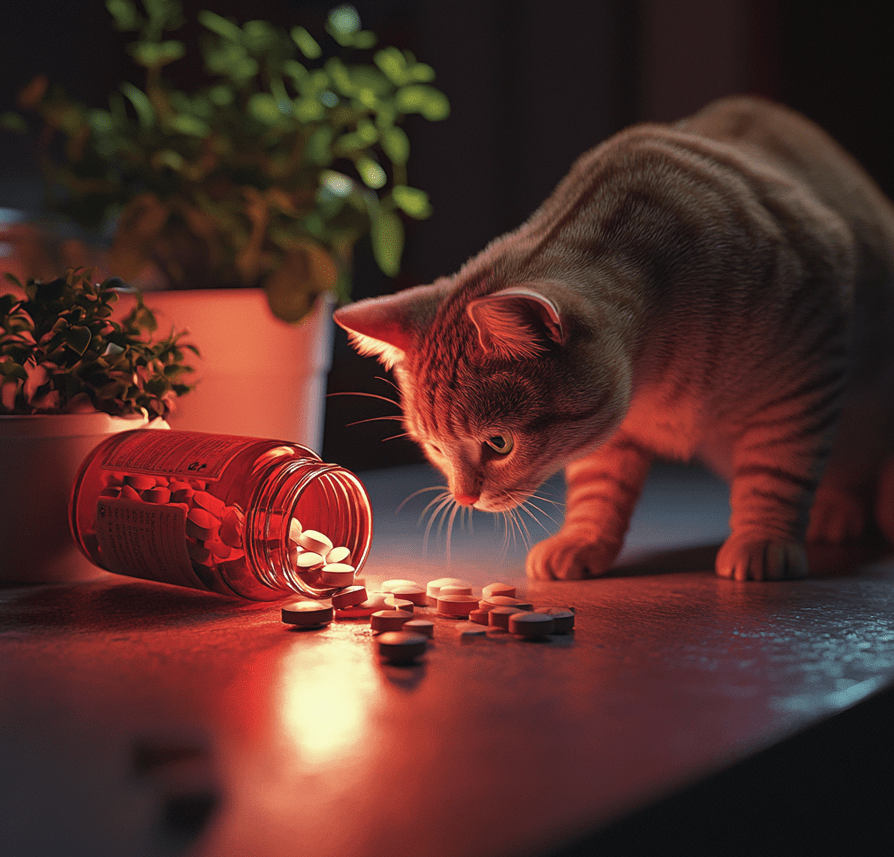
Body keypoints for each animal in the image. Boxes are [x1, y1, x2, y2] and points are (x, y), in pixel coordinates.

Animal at [332, 97, 894, 584]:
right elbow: (599, 487)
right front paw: (582, 540)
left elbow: (778, 467)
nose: (465, 499)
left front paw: (763, 539)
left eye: (499, 444)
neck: (657, 379)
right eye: (433, 448)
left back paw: (850, 510)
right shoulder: (608, 432)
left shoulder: (804, 371)